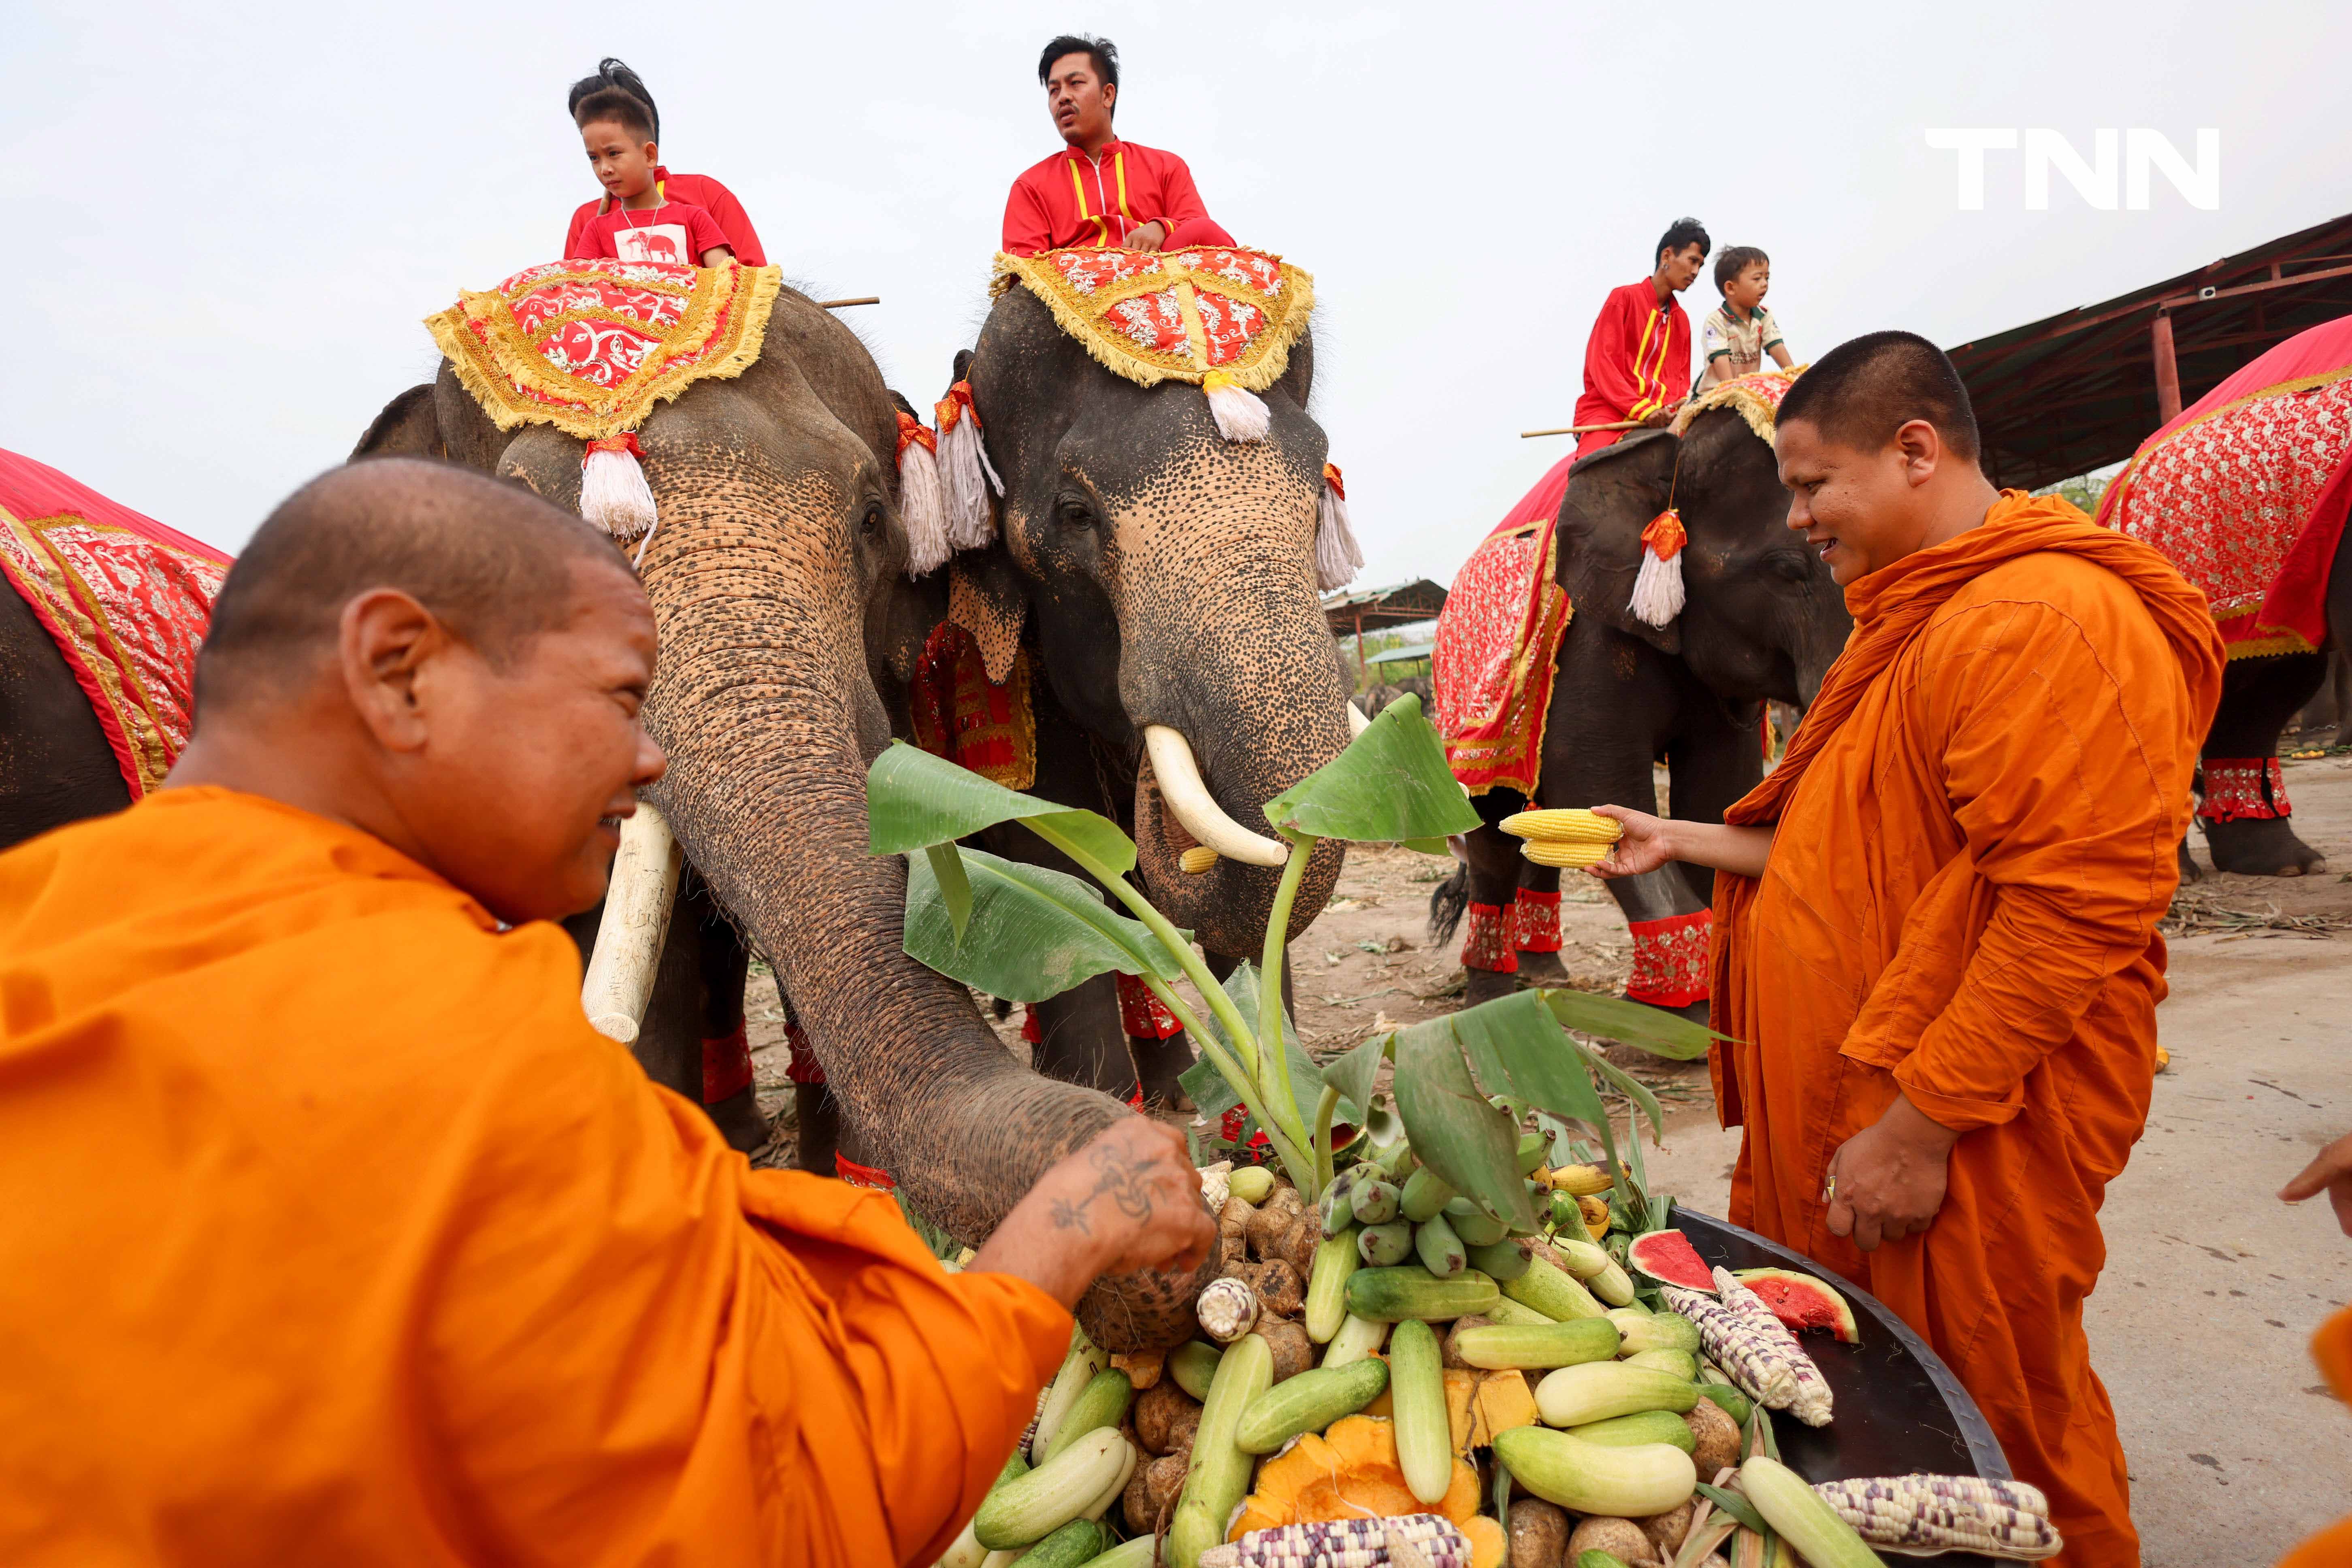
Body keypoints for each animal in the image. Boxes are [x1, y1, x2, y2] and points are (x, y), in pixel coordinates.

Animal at [1421, 409, 1844, 1020]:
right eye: (1787, 568)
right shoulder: (1589, 639)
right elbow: (1592, 780)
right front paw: (1692, 1018)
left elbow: (1716, 796)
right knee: (1493, 832)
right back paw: (1490, 1000)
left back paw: (1548, 974)